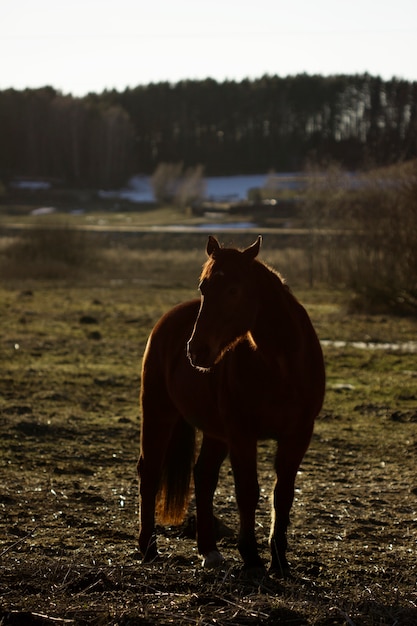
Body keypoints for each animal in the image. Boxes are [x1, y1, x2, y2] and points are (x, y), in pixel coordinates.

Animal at [137, 235, 324, 576]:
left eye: (234, 290)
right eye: (203, 287)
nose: (196, 350)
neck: (281, 367)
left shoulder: (297, 435)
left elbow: (283, 495)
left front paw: (279, 561)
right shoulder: (242, 435)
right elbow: (247, 491)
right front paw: (251, 557)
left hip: (215, 433)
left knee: (203, 476)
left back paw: (209, 551)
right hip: (158, 412)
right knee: (151, 472)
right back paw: (148, 548)